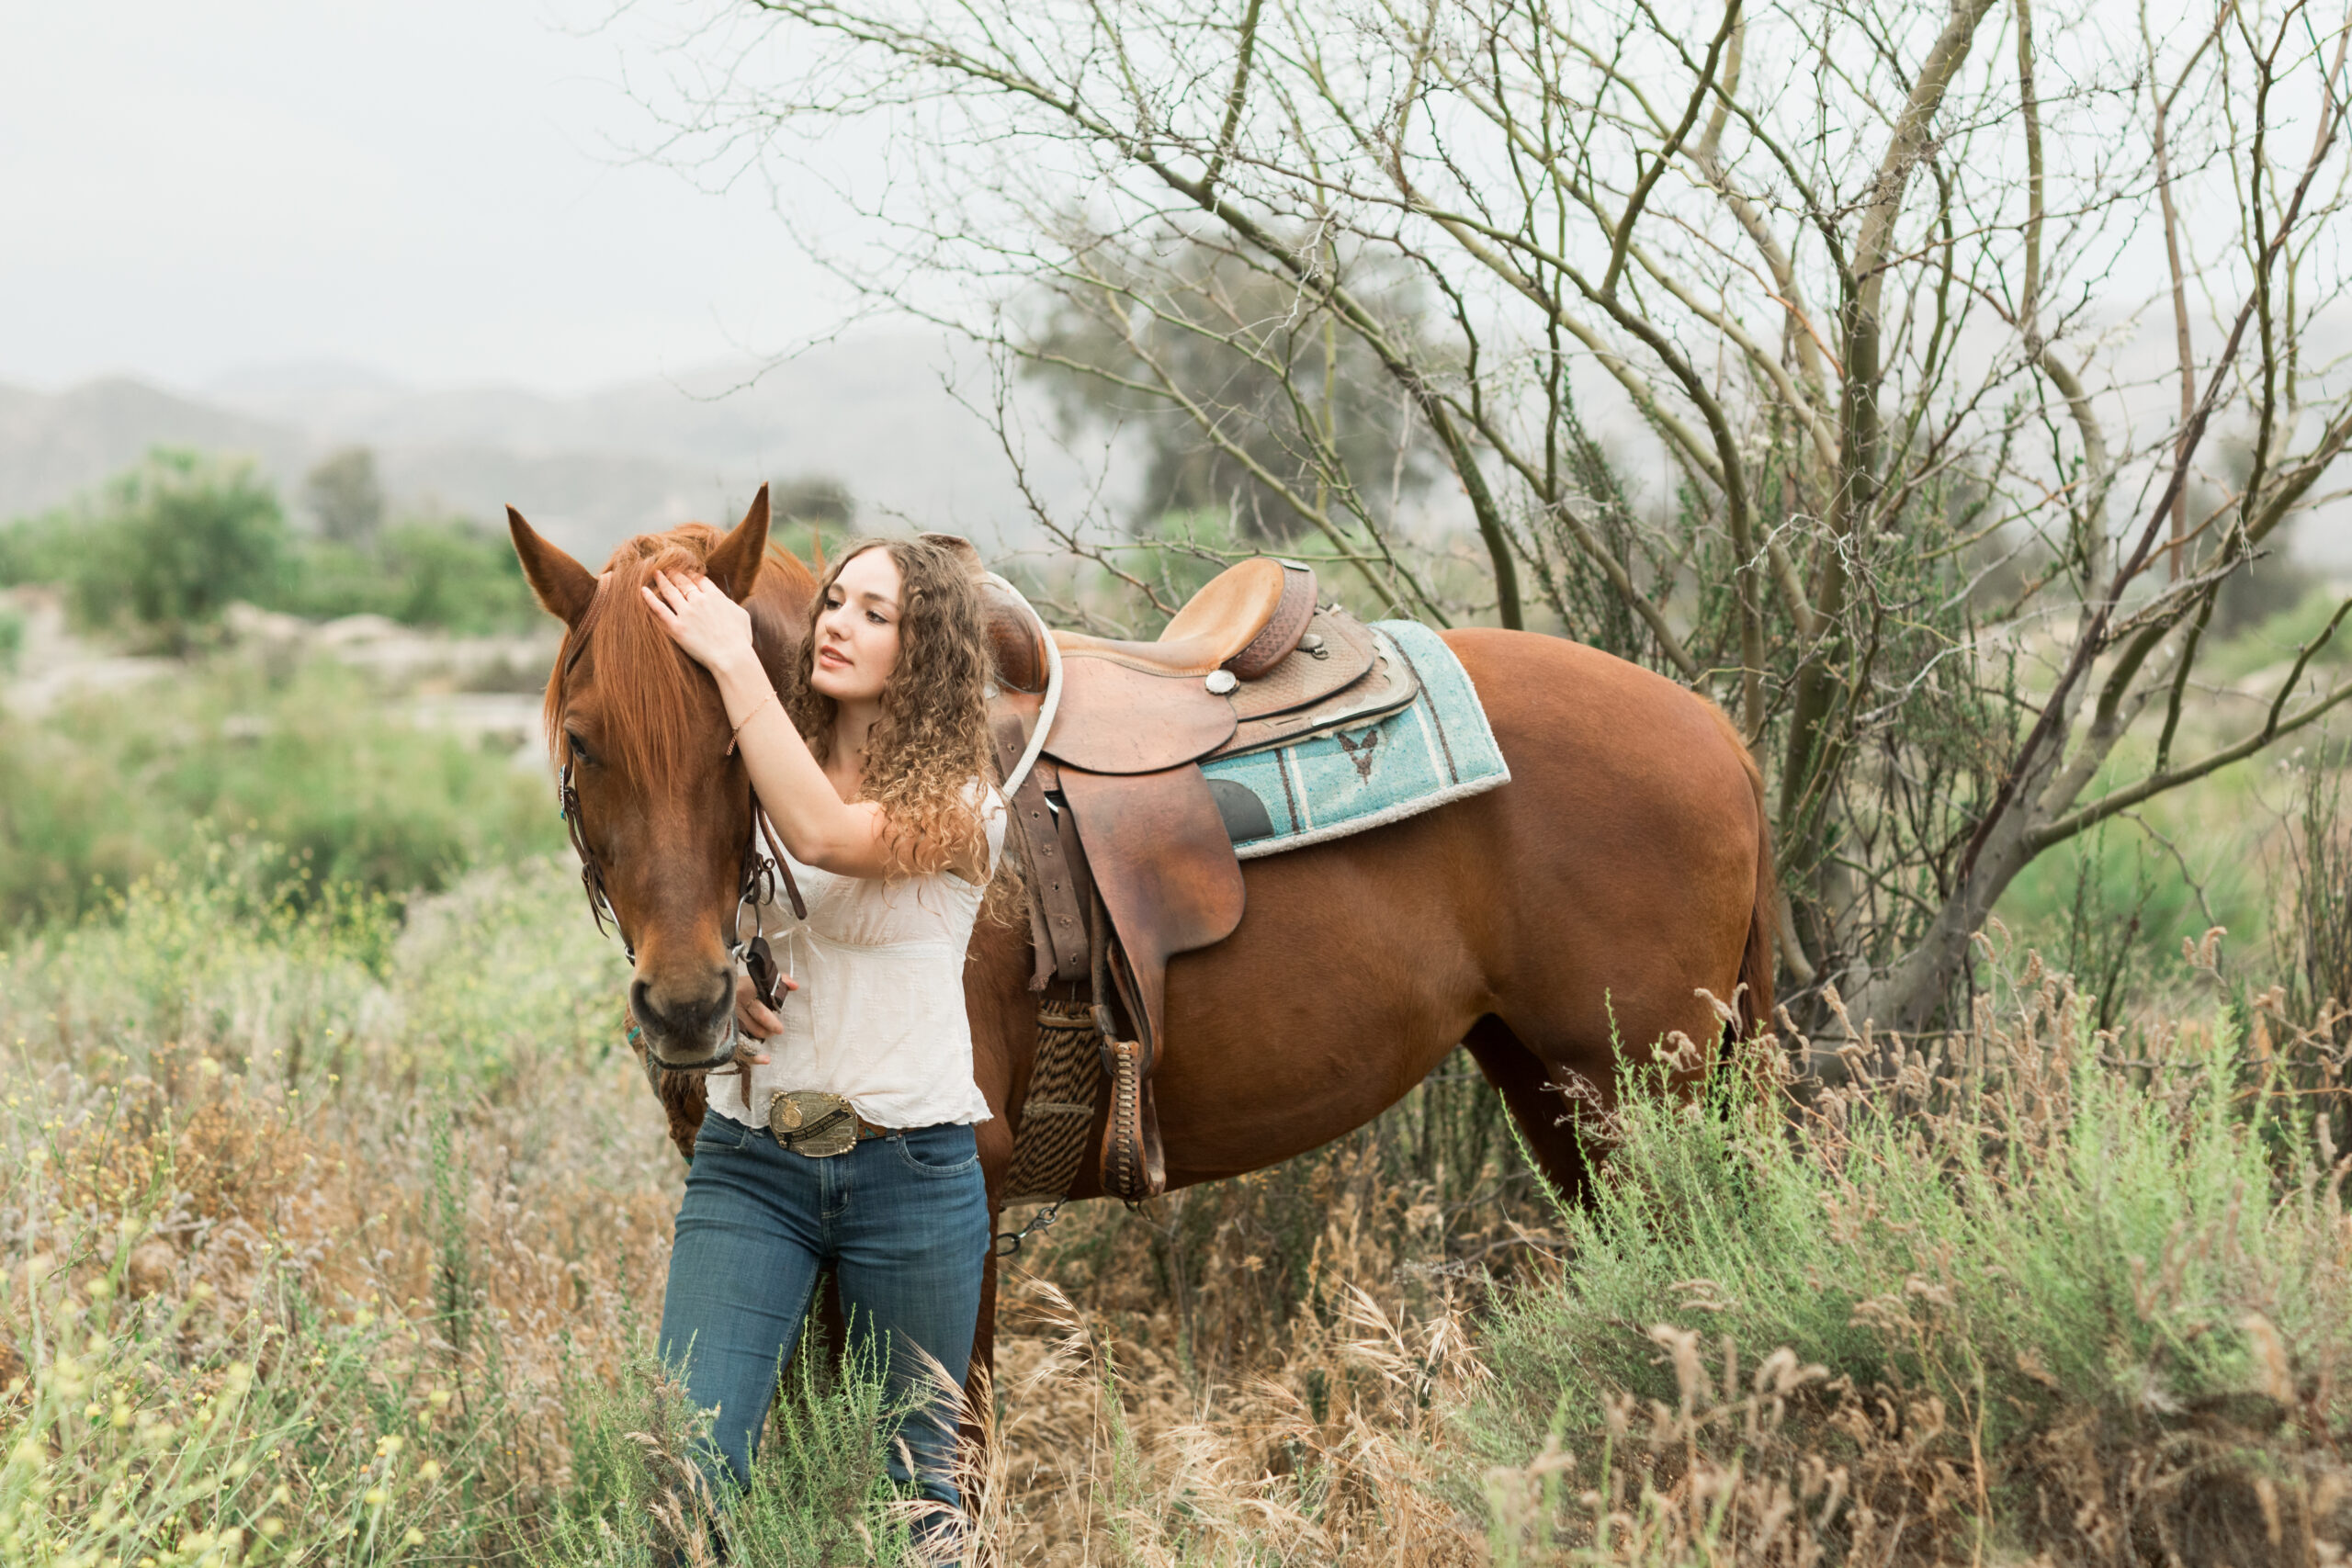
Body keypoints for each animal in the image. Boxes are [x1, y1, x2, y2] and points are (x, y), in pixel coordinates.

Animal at [506, 487, 1774, 1376]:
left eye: (735, 737)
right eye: (585, 741)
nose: (686, 1004)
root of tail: (1717, 729)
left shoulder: (967, 1191)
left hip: (1638, 1096)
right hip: (1555, 1089)